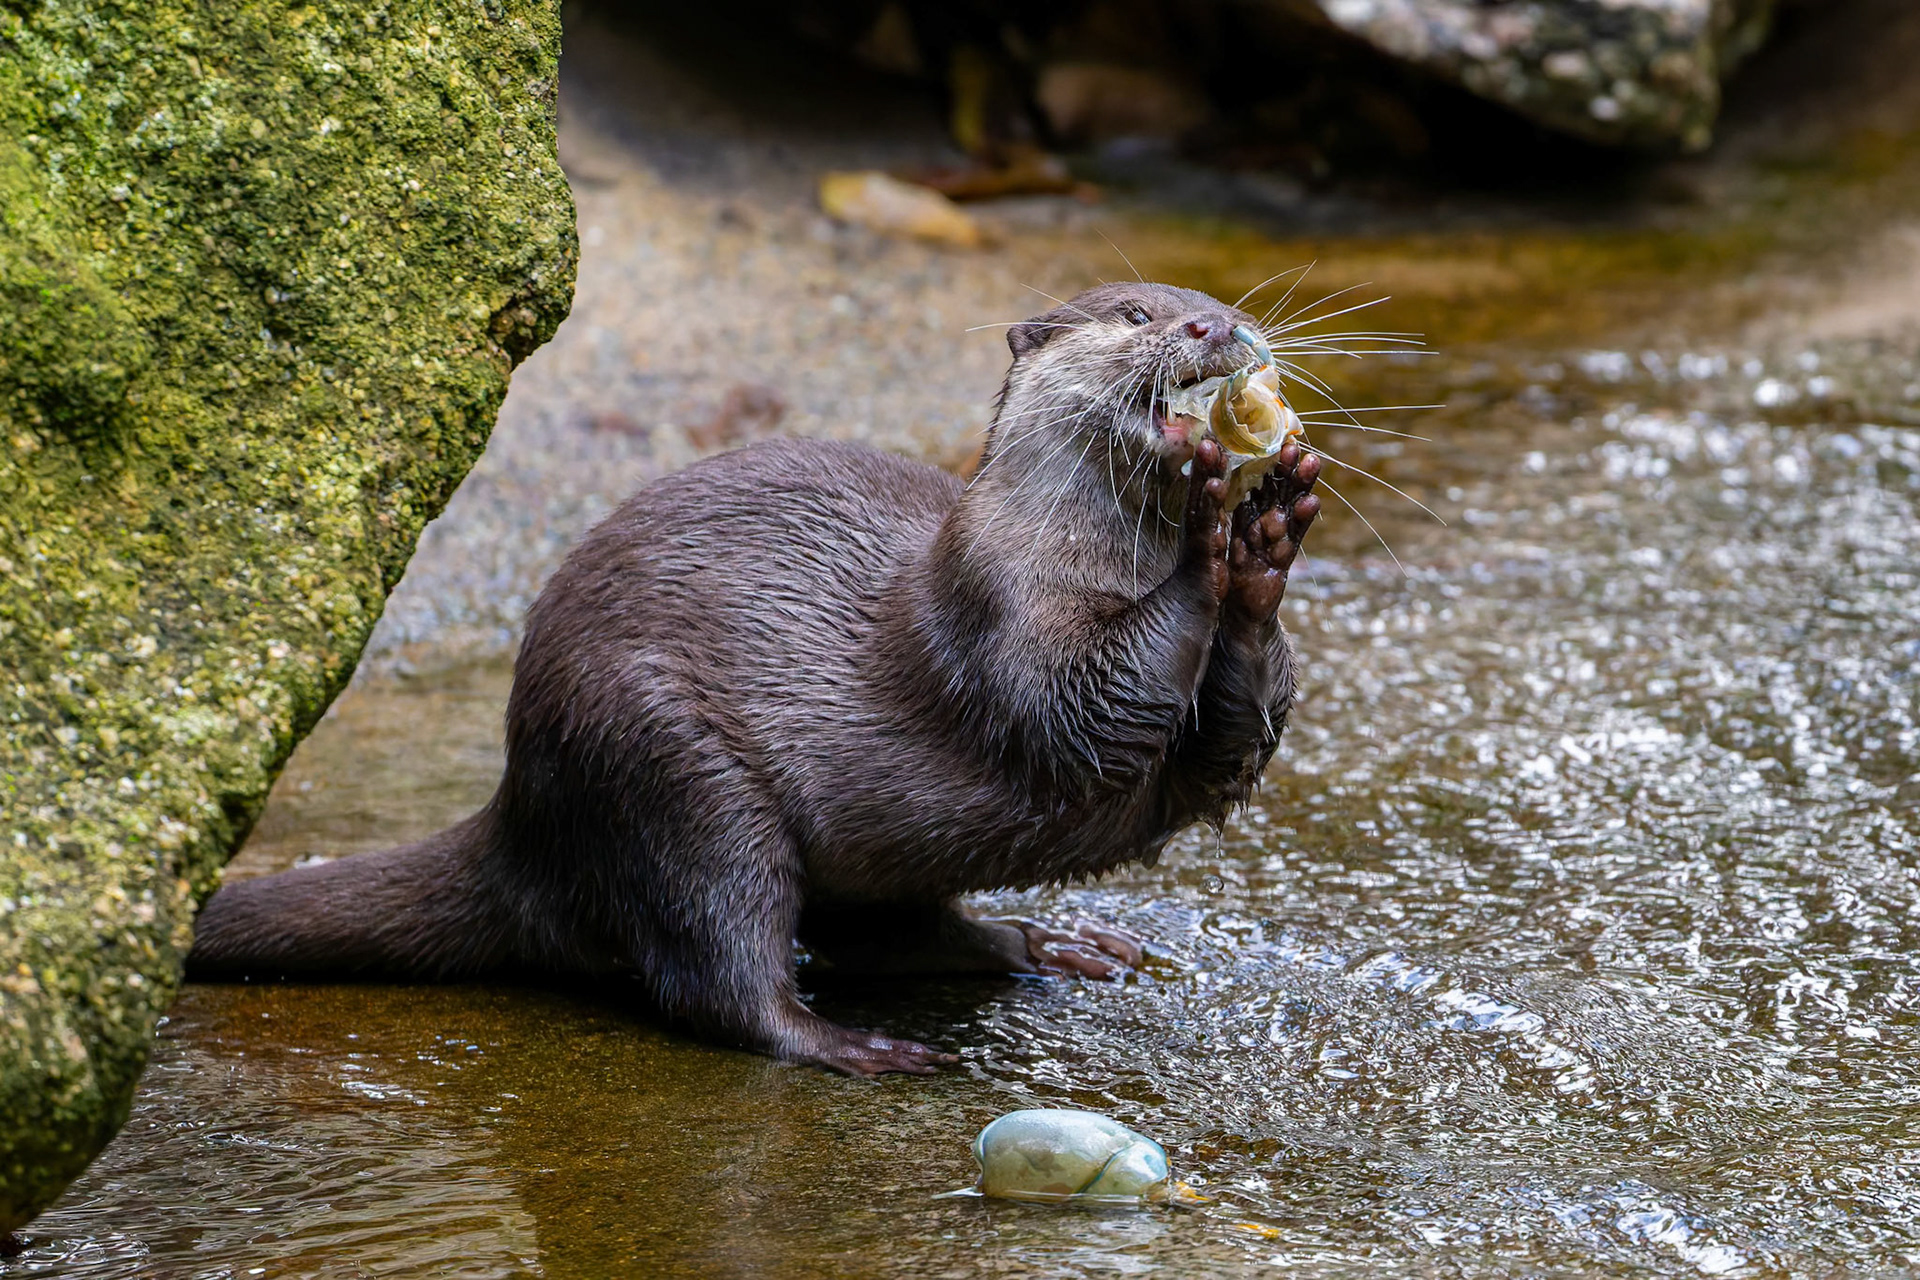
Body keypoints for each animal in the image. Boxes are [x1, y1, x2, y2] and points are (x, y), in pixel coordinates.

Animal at [188, 282, 1323, 1076]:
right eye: (1138, 313)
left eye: (1212, 305)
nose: (1216, 326)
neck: (1071, 560)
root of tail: (520, 801)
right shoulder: (996, 615)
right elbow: (1084, 708)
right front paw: (1212, 530)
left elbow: (1220, 753)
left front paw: (1269, 540)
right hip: (671, 765)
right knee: (723, 976)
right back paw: (857, 1046)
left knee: (893, 933)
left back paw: (1052, 942)